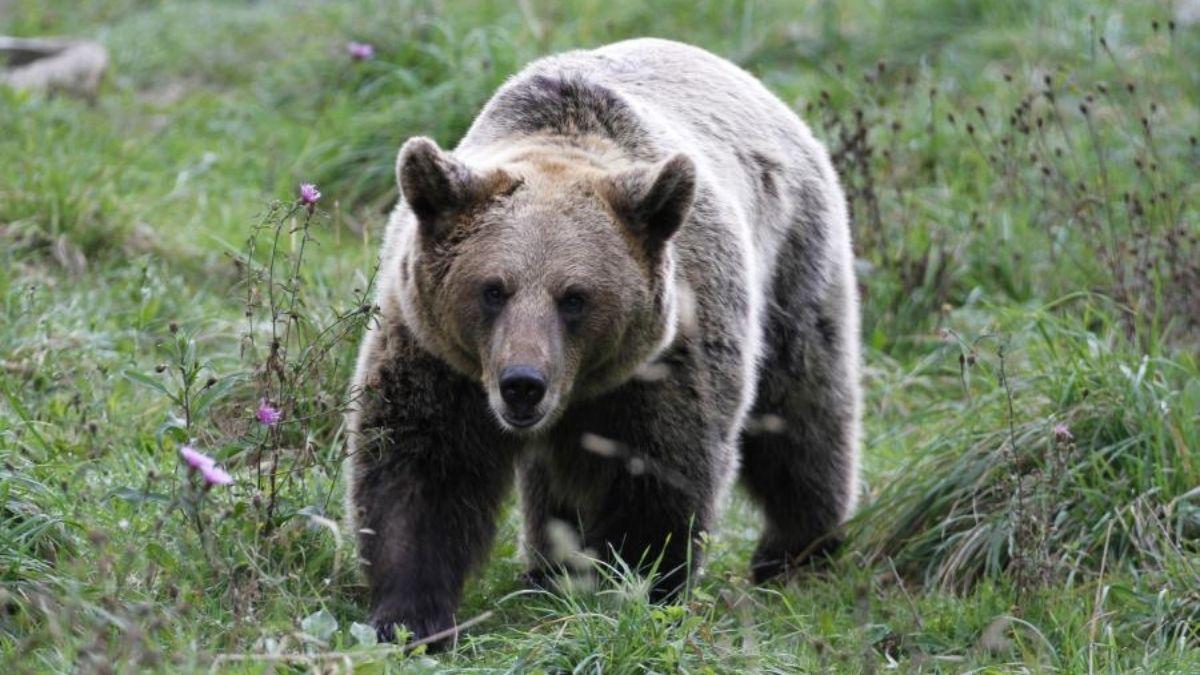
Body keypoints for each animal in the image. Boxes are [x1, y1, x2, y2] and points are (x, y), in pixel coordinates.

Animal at [346, 38, 861, 645]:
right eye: (493, 289)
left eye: (575, 297)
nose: (523, 385)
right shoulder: (437, 355)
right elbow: (422, 469)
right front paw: (409, 618)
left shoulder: (667, 358)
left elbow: (660, 474)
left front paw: (633, 591)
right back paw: (547, 569)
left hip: (793, 265)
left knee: (801, 414)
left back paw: (797, 549)